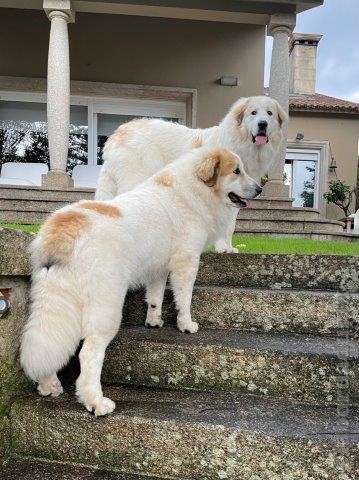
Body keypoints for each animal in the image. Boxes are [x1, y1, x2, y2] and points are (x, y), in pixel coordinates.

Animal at [20, 146, 262, 416]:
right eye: (237, 171)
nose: (259, 189)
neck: (190, 191)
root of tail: (66, 226)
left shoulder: (158, 268)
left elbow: (155, 297)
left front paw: (154, 321)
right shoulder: (186, 263)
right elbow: (184, 299)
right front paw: (186, 325)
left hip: (55, 302)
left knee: (46, 341)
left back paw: (48, 385)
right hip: (106, 308)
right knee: (89, 354)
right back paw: (96, 402)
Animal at [97, 93, 288, 251]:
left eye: (269, 113)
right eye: (253, 113)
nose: (262, 124)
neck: (242, 143)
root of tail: (117, 133)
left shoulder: (236, 195)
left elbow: (230, 225)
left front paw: (227, 248)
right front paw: (222, 248)